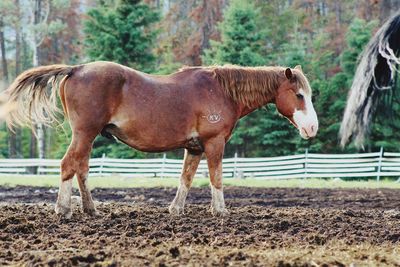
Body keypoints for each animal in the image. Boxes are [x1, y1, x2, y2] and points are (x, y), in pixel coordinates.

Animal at [1, 61, 318, 219]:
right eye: (299, 95)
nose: (312, 128)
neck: (221, 90)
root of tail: (76, 69)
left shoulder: (194, 148)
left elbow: (186, 179)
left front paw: (176, 210)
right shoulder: (214, 143)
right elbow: (216, 178)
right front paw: (220, 211)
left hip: (88, 137)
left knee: (81, 169)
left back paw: (90, 209)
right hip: (84, 133)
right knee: (69, 166)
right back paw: (64, 209)